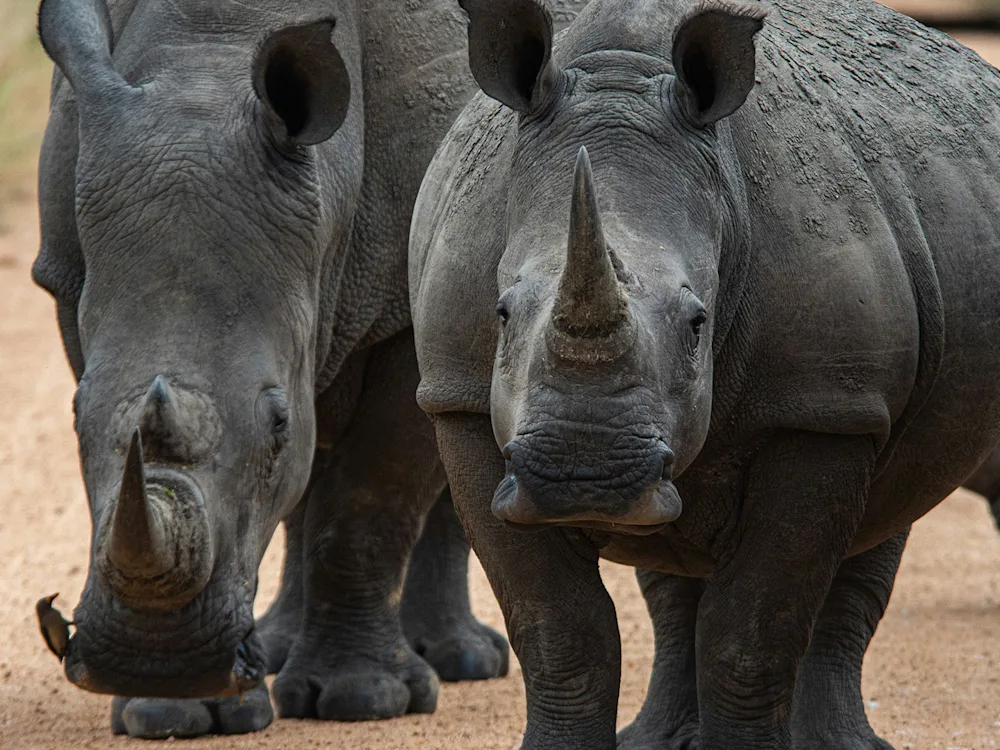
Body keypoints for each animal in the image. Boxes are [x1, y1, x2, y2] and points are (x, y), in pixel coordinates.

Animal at [29, 0, 596, 738]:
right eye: (73, 418)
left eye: (276, 423)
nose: (155, 660)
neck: (205, 59)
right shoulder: (68, 277)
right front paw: (169, 714)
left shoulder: (403, 310)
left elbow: (368, 498)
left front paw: (362, 700)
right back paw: (273, 652)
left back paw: (458, 661)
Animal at [409, 0, 1000, 747]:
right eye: (502, 312)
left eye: (698, 324)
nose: (583, 476)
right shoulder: (457, 400)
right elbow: (559, 631)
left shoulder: (822, 408)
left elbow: (750, 635)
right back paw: (659, 739)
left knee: (883, 508)